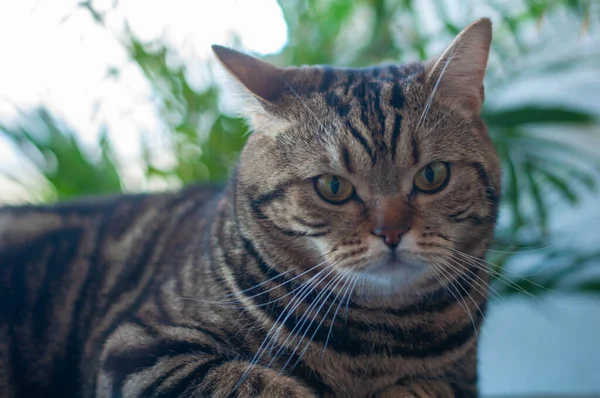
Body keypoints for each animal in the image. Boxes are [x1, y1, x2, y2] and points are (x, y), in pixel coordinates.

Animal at [0, 18, 502, 398]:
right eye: (333, 186)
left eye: (432, 176)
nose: (391, 232)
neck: (378, 343)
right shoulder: (138, 350)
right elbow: (256, 384)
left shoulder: (461, 380)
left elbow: (427, 386)